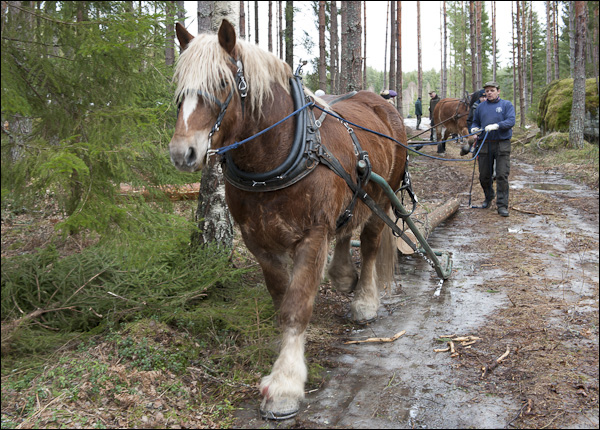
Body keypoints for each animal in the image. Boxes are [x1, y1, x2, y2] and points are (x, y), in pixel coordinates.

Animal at [168, 21, 408, 420]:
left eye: (222, 83)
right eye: (179, 87)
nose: (181, 152)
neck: (274, 154)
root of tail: (382, 102)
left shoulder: (312, 235)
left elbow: (297, 306)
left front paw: (285, 385)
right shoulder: (258, 240)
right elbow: (282, 300)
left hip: (381, 197)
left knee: (371, 243)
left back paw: (364, 301)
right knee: (345, 228)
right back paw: (343, 275)